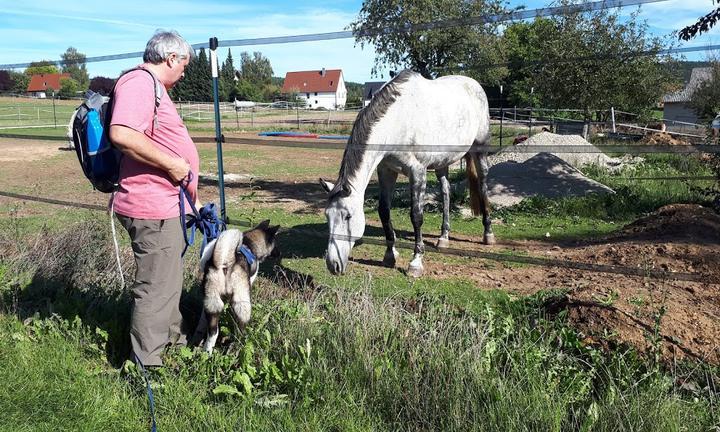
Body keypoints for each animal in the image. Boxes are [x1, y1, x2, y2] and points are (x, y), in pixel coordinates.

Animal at [198, 221, 280, 352]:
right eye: (275, 243)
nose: (280, 253)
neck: (251, 242)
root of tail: (226, 262)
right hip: (243, 307)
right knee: (239, 333)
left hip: (212, 305)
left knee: (213, 333)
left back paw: (207, 352)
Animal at [320, 67, 496, 276]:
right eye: (327, 216)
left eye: (348, 216)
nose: (332, 265)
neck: (397, 122)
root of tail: (474, 84)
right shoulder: (386, 171)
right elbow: (384, 212)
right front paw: (390, 255)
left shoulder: (417, 172)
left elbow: (416, 216)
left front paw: (416, 263)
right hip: (442, 162)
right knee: (446, 192)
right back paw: (443, 237)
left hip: (480, 150)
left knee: (483, 185)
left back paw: (488, 234)